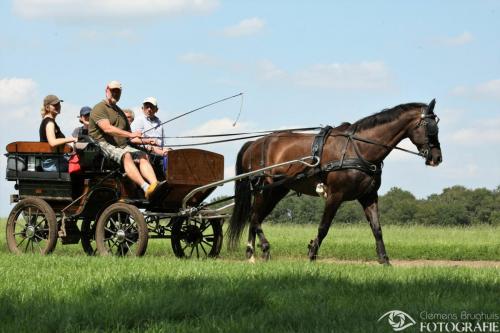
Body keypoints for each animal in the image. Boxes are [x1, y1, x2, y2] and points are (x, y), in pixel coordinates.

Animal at [227, 100, 442, 264]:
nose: (437, 158)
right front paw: (312, 253)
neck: (358, 148)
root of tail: (254, 143)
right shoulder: (335, 195)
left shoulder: (369, 196)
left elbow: (377, 228)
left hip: (276, 191)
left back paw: (252, 253)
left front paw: (384, 259)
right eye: (430, 127)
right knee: (254, 217)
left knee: (255, 217)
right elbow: (324, 227)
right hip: (264, 189)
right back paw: (261, 249)